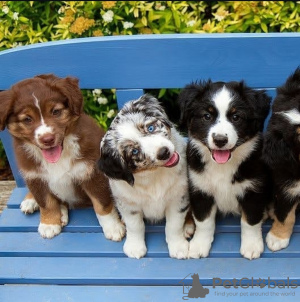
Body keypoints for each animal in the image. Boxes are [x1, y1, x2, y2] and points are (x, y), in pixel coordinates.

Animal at [0, 74, 125, 239]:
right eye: (27, 119)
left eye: (55, 111)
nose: (47, 139)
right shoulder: (34, 175)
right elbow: (46, 203)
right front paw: (49, 224)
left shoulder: (92, 173)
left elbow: (102, 204)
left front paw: (113, 227)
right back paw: (31, 201)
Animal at [98, 95, 190, 260]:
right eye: (134, 151)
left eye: (150, 128)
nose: (164, 152)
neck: (154, 175)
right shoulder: (128, 203)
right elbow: (135, 225)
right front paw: (135, 247)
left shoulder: (178, 198)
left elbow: (174, 225)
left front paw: (178, 247)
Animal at [178, 79, 272, 260]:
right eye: (207, 116)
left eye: (236, 117)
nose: (220, 140)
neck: (223, 166)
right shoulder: (200, 188)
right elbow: (204, 221)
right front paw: (199, 245)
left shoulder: (253, 190)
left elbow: (250, 221)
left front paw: (251, 246)